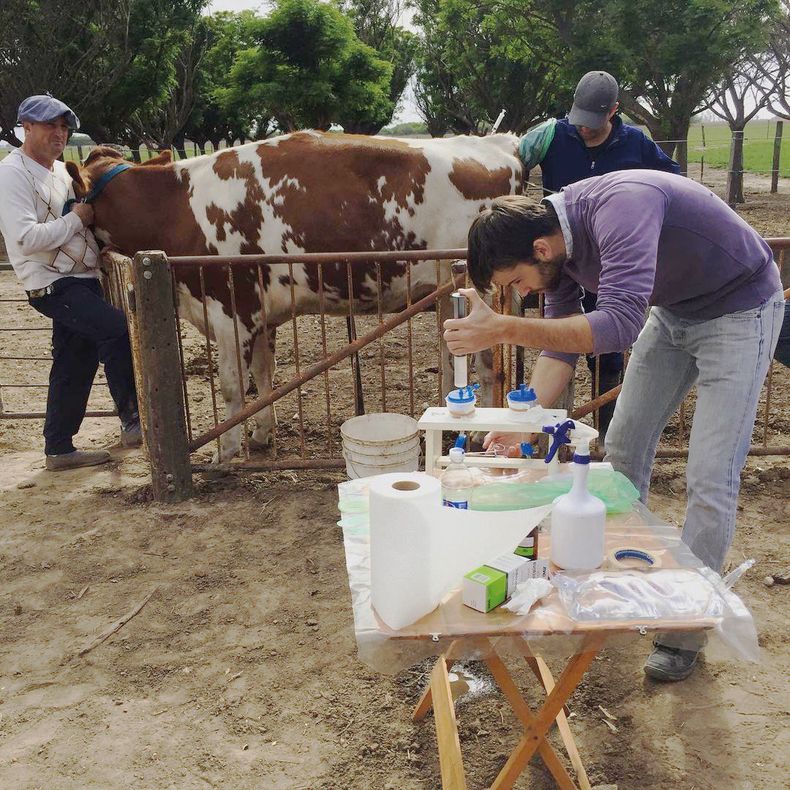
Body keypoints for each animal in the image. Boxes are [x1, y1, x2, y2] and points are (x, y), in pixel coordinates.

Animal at [68, 132, 524, 460]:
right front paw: (261, 434)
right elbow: (263, 377)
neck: (176, 209)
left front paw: (226, 451)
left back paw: (480, 433)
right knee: (454, 359)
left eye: (72, 196)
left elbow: (232, 385)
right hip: (449, 293)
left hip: (480, 291)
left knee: (489, 364)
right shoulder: (259, 314)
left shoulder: (230, 311)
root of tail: (498, 142)